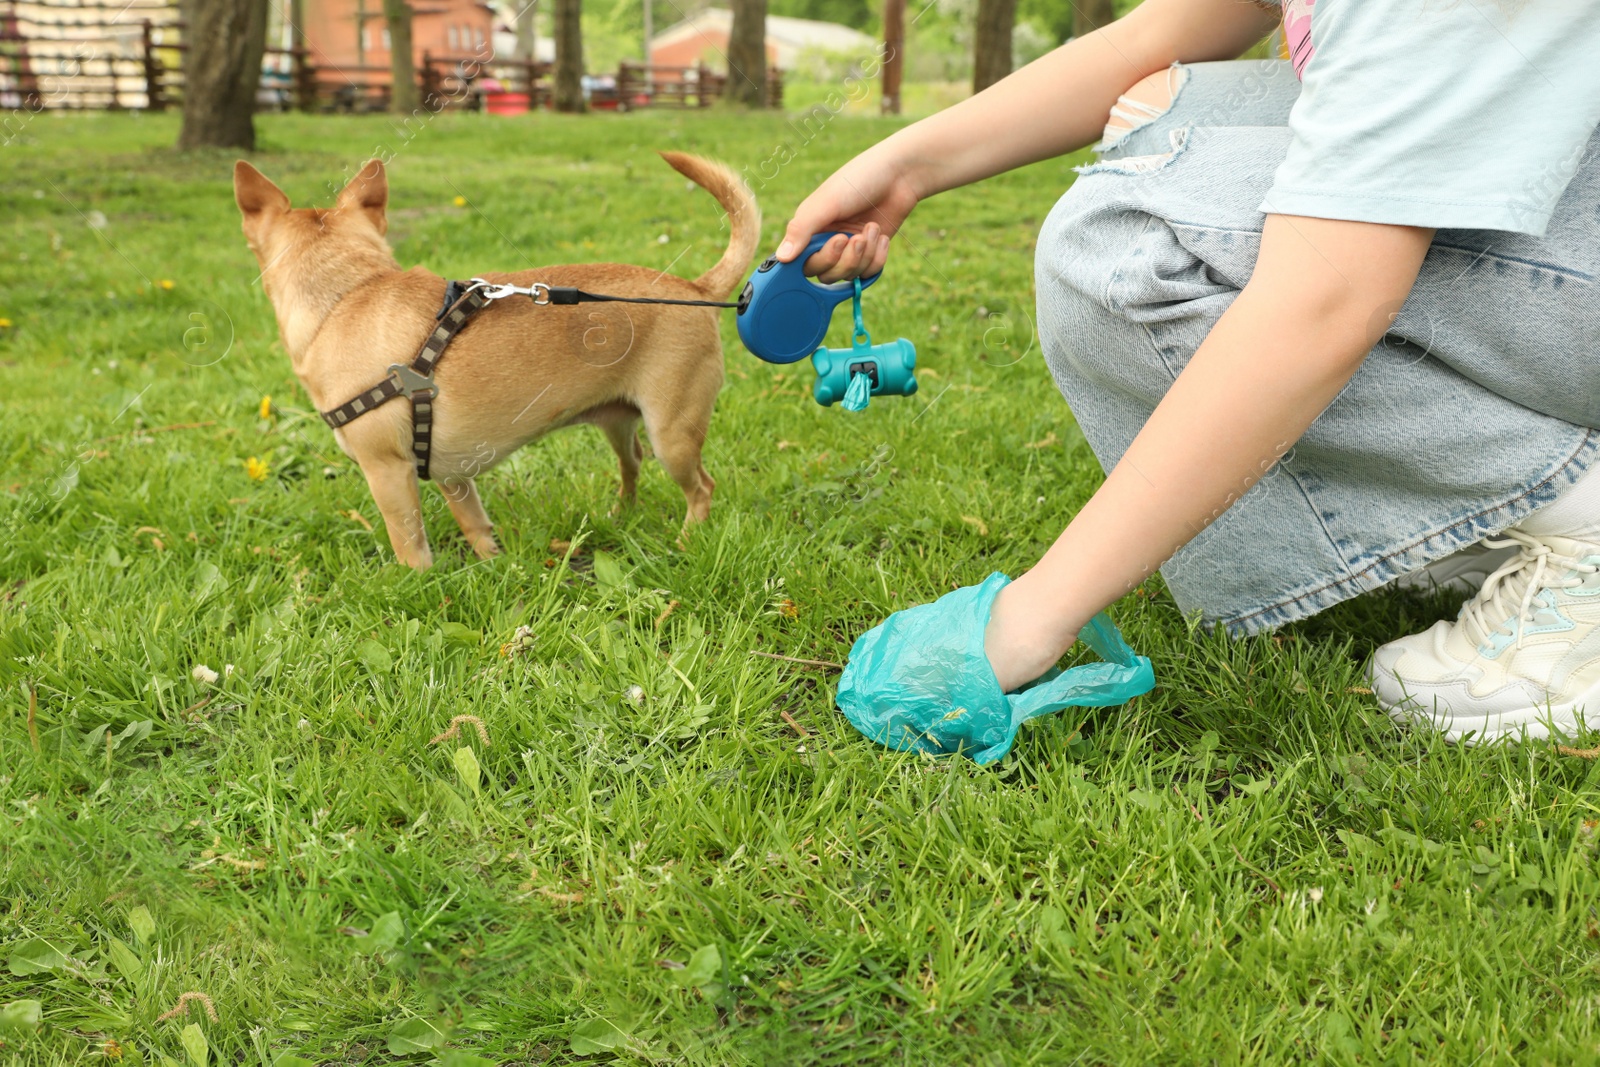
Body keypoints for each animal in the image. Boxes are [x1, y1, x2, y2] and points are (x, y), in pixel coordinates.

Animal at [233, 154, 761, 572]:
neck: (346, 295)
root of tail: (695, 289)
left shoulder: (388, 474)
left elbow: (409, 545)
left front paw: (416, 586)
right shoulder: (454, 477)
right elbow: (476, 526)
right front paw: (494, 565)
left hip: (673, 435)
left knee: (701, 488)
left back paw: (688, 542)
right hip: (621, 423)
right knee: (632, 463)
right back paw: (621, 515)